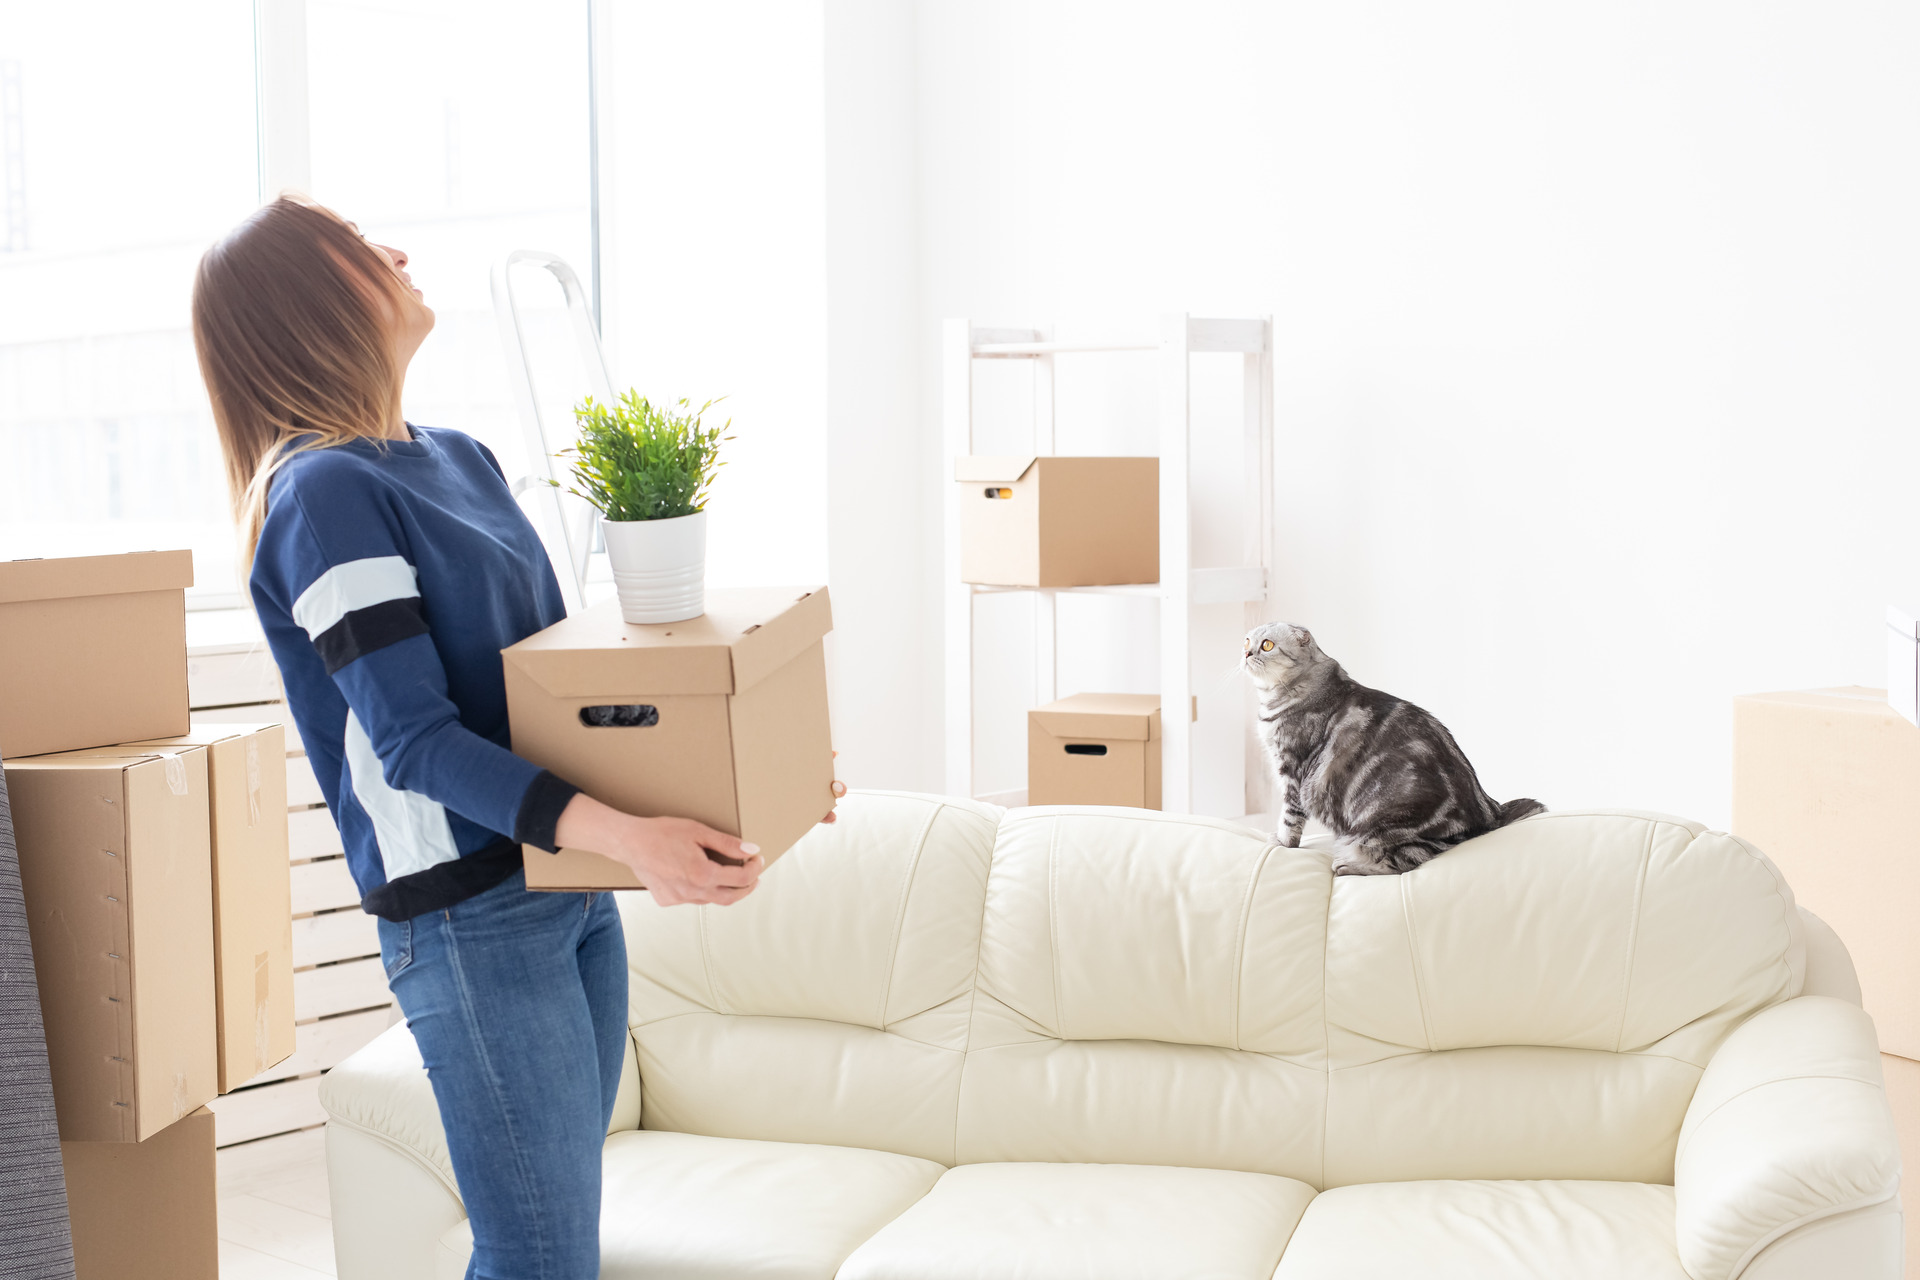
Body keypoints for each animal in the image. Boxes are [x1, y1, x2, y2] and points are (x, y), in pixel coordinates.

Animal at [1244, 621, 1543, 882]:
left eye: (1267, 645)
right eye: (1247, 641)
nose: (1245, 652)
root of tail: (1490, 809)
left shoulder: (1293, 770)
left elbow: (1289, 817)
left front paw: (1282, 842)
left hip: (1383, 829)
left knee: (1404, 863)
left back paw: (1347, 865)